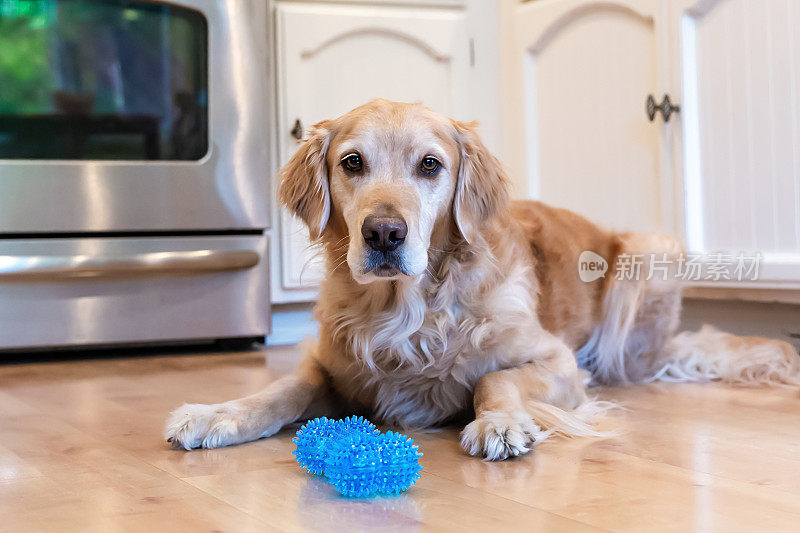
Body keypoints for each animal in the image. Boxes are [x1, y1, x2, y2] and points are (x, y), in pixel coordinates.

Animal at [166, 102, 800, 460]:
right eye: (351, 163)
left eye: (430, 165)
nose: (384, 234)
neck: (410, 311)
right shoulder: (328, 363)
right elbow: (282, 389)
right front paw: (217, 413)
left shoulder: (557, 361)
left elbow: (495, 379)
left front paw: (500, 423)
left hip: (647, 254)